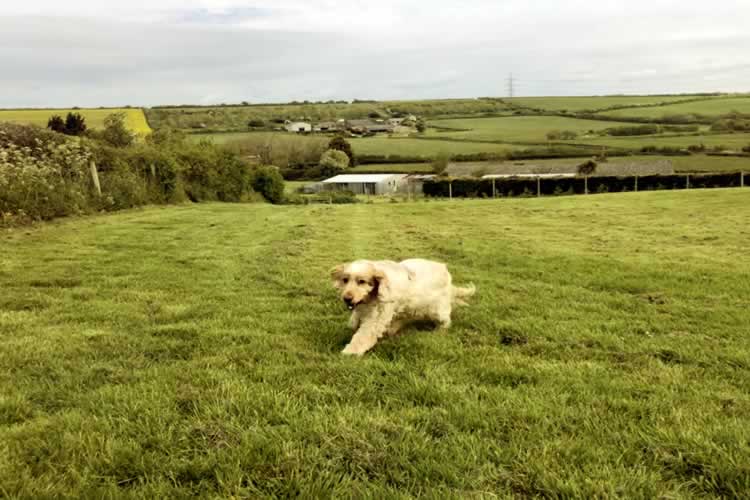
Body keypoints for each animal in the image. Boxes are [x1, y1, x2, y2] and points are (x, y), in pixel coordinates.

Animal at [330, 258, 476, 356]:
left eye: (362, 281)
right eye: (345, 280)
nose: (347, 298)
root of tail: (445, 271)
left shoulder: (376, 318)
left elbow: (363, 336)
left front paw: (350, 352)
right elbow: (354, 321)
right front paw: (353, 323)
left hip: (437, 309)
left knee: (445, 320)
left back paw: (440, 330)